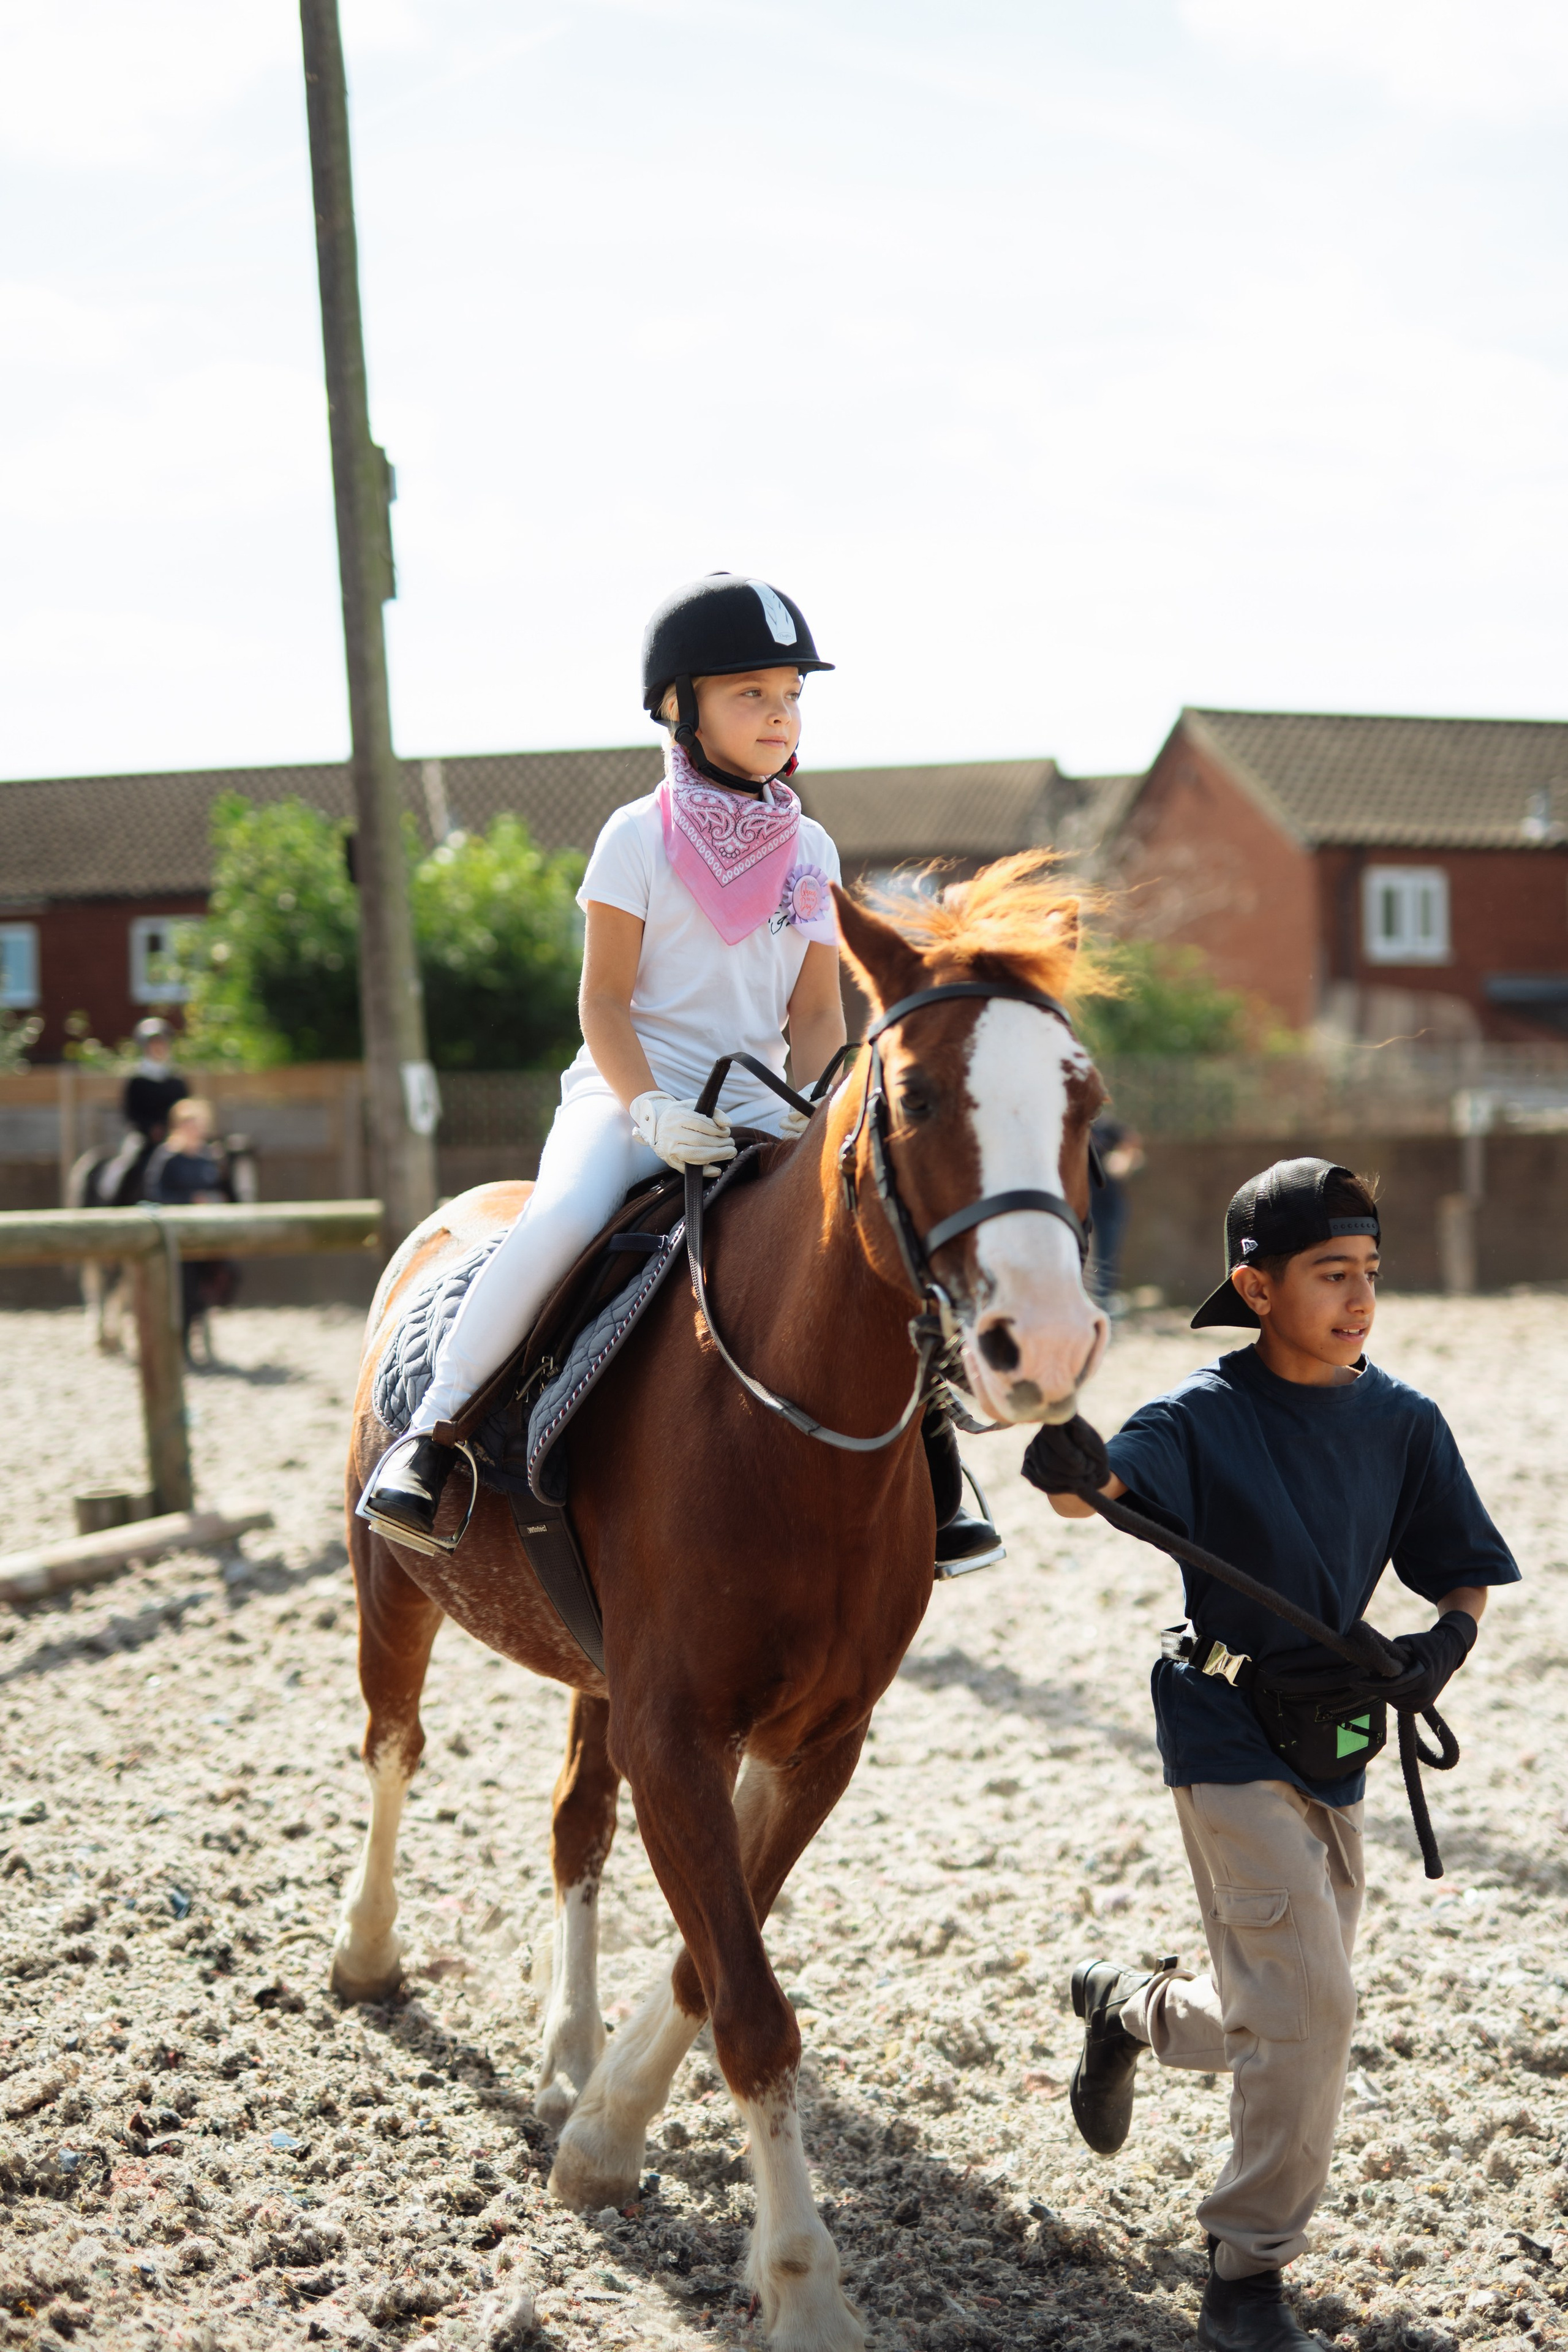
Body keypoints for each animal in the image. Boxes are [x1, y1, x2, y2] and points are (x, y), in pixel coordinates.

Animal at [337, 856, 1111, 2352]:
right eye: (916, 1097)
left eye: (1082, 1098)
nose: (1041, 1346)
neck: (787, 1429)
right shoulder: (676, 1728)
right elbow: (748, 2003)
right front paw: (805, 2284)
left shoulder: (812, 1738)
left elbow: (714, 1956)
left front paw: (600, 2126)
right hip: (391, 1592)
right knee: (395, 1748)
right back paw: (367, 1953)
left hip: (591, 1676)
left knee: (572, 1828)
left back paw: (565, 2051)